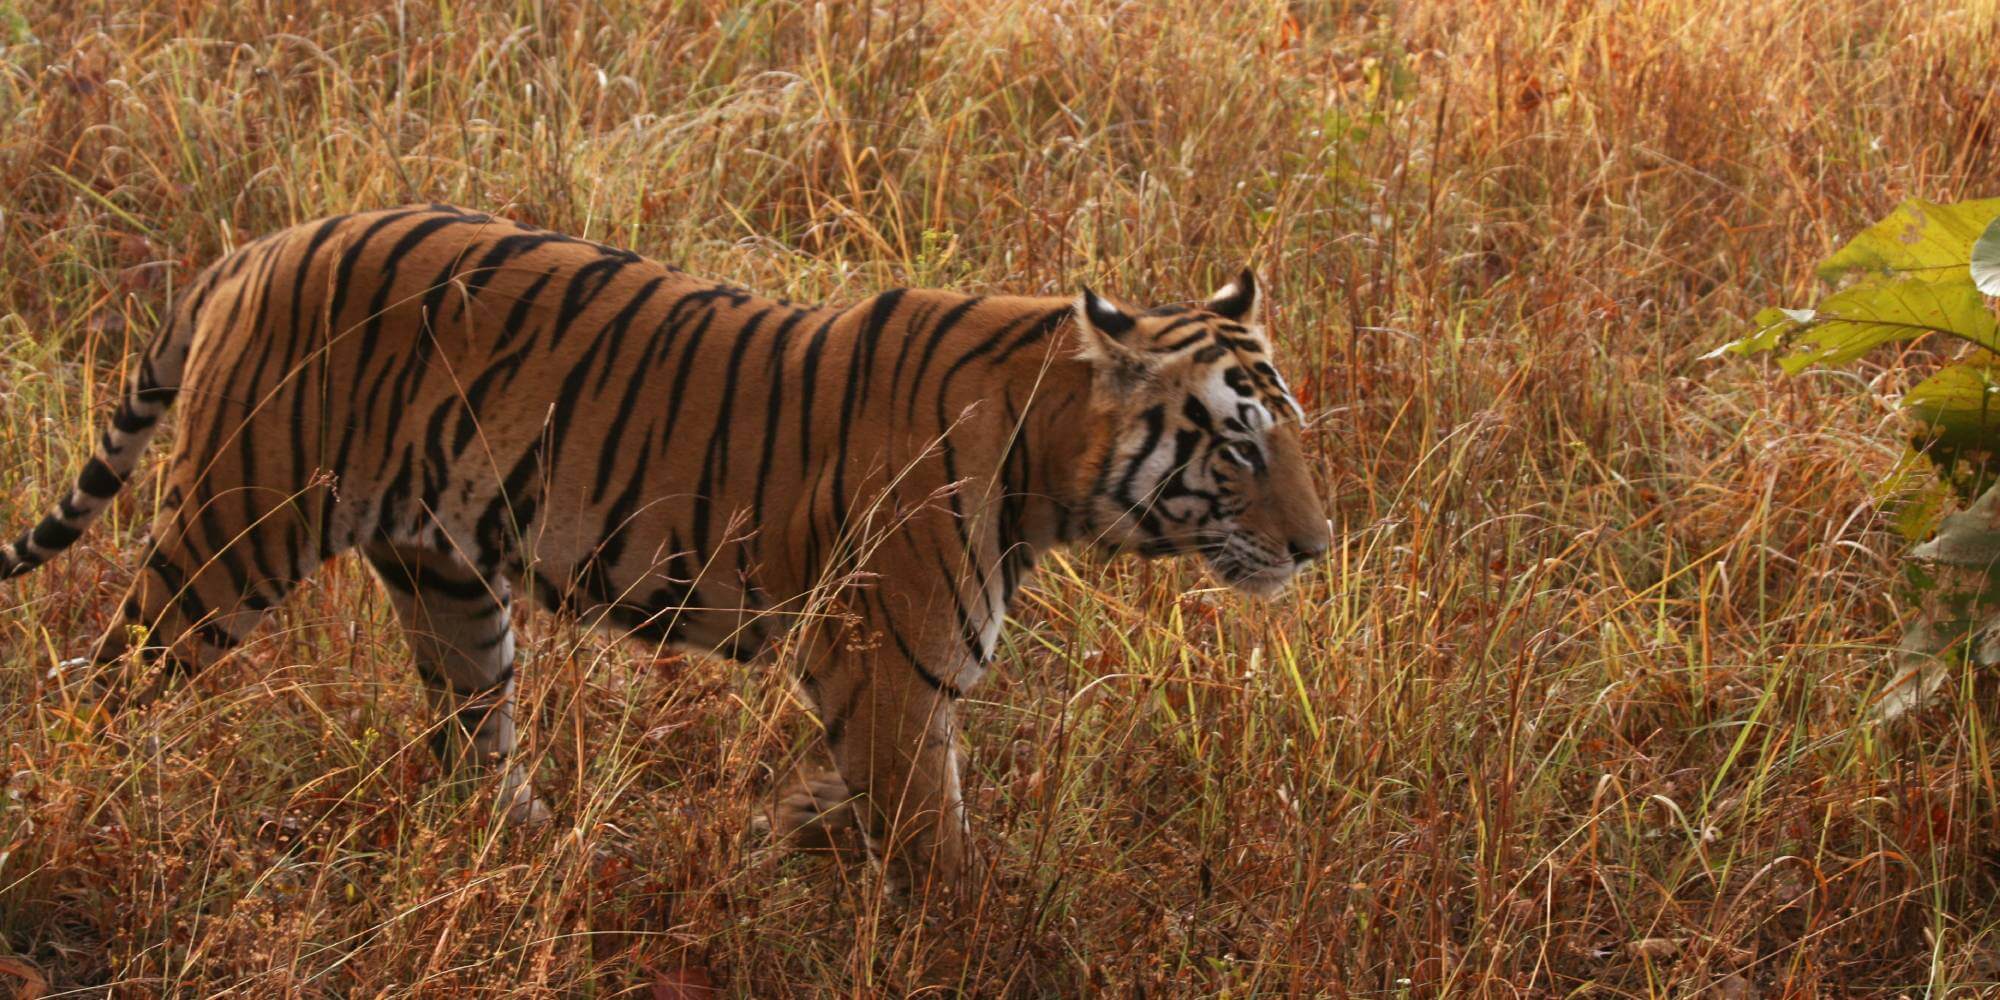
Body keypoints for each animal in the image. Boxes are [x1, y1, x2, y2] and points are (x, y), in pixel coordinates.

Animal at [0, 203, 1328, 900]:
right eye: (1240, 446)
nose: (1316, 550)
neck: (1050, 456)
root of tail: (263, 243)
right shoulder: (889, 668)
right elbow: (938, 842)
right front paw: (976, 932)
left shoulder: (876, 682)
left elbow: (844, 799)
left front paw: (772, 839)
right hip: (236, 530)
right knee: (104, 677)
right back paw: (75, 800)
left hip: (448, 584)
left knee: (476, 747)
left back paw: (555, 859)